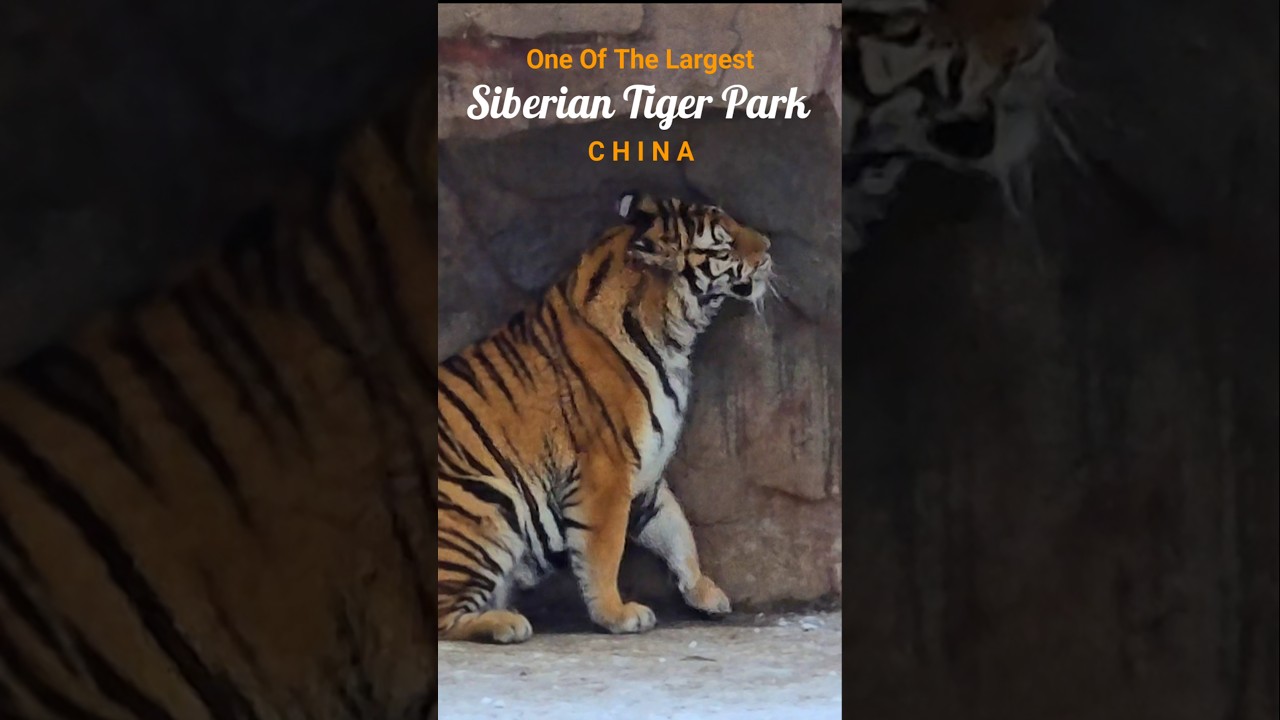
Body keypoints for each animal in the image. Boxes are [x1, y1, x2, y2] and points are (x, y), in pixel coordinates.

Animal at [436, 191, 774, 644]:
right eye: (725, 244)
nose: (768, 248)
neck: (673, 339)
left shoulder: (647, 475)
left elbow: (678, 531)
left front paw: (705, 592)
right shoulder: (606, 470)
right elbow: (605, 550)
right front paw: (617, 614)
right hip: (485, 504)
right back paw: (506, 623)